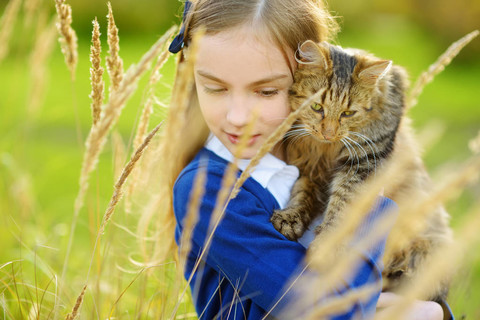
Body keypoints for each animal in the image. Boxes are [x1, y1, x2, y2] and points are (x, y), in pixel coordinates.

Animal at [272, 40, 452, 302]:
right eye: (316, 107)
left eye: (348, 113)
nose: (328, 133)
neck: (326, 150)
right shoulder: (309, 169)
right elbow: (301, 195)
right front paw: (290, 218)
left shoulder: (362, 164)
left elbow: (342, 207)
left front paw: (326, 248)